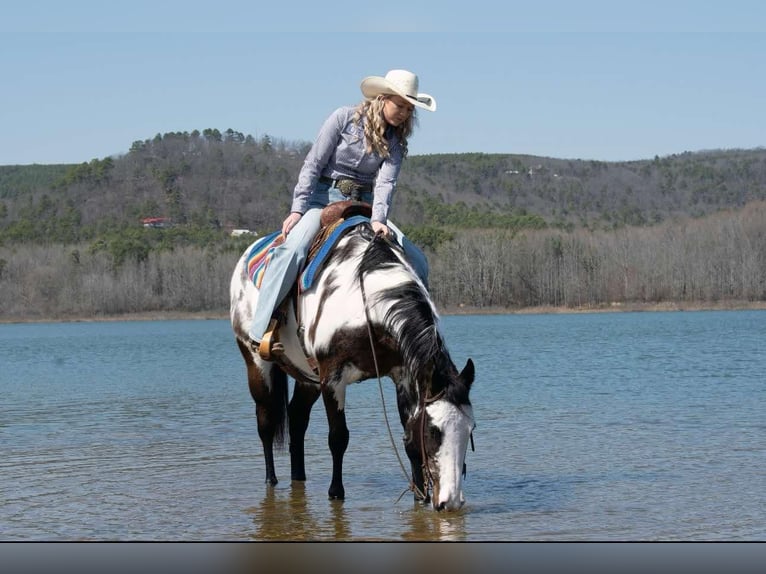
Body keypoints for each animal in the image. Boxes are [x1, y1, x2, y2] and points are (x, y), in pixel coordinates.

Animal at [229, 213, 475, 511]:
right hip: (257, 363)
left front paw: (419, 496)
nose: (451, 502)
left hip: (308, 377)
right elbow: (338, 437)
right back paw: (271, 480)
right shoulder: (333, 377)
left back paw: (298, 478)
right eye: (433, 431)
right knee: (266, 421)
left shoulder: (403, 374)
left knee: (297, 419)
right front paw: (336, 492)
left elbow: (408, 439)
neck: (366, 302)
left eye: (470, 429)